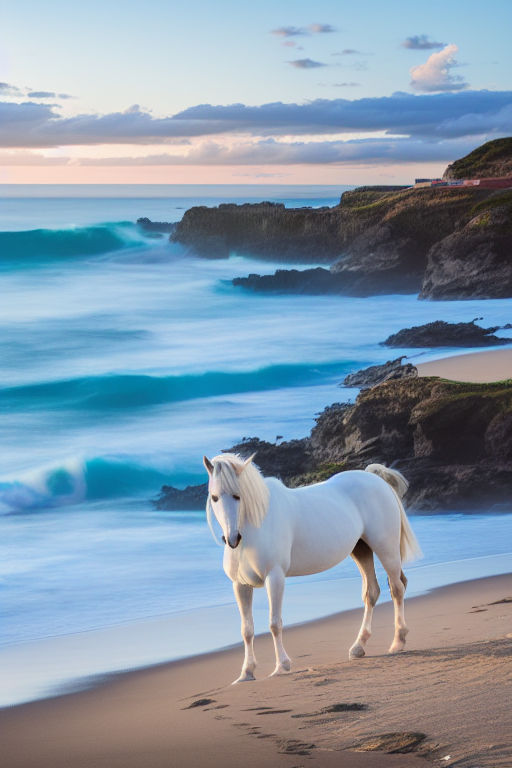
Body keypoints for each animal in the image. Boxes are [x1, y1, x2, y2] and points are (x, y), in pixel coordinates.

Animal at [202, 452, 422, 680]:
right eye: (214, 497)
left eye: (237, 496)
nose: (232, 539)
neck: (256, 525)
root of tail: (376, 479)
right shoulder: (240, 585)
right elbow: (247, 629)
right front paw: (246, 672)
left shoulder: (275, 578)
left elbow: (274, 623)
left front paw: (282, 666)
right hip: (361, 550)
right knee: (372, 592)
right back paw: (358, 647)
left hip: (386, 549)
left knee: (397, 588)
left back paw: (397, 642)